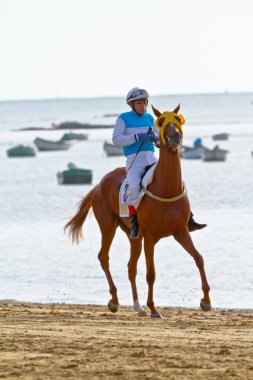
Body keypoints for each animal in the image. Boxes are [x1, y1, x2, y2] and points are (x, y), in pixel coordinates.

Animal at [64, 104, 211, 318]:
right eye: (161, 122)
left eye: (178, 119)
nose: (175, 137)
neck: (166, 187)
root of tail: (99, 184)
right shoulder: (150, 236)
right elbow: (151, 273)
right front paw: (154, 308)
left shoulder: (180, 231)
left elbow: (199, 258)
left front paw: (206, 301)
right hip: (108, 227)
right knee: (104, 257)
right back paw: (114, 300)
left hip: (134, 236)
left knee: (130, 266)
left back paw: (137, 306)